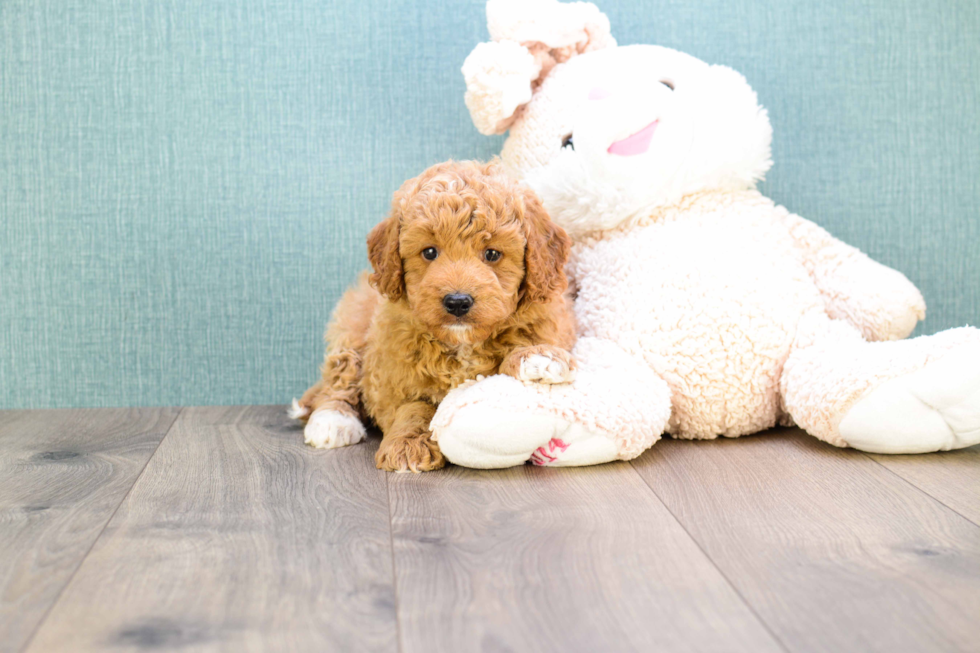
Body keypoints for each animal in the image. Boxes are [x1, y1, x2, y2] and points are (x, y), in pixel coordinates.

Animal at [294, 160, 580, 472]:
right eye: (429, 252)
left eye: (492, 254)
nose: (457, 302)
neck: (462, 343)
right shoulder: (392, 375)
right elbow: (414, 406)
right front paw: (408, 444)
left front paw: (537, 355)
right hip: (352, 326)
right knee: (340, 375)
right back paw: (332, 420)